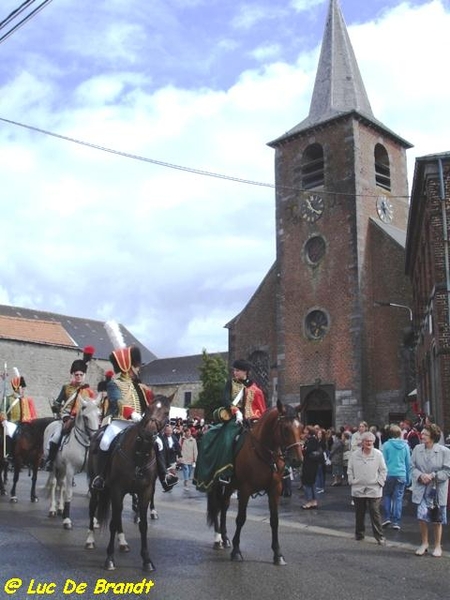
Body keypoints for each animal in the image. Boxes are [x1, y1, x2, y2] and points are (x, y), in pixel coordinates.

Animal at [43, 398, 99, 528]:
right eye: (86, 417)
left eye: (99, 415)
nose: (95, 437)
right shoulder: (70, 469)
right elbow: (68, 493)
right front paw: (67, 520)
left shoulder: (89, 472)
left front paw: (93, 520)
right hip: (54, 466)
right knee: (54, 483)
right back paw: (53, 509)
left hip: (62, 468)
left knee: (61, 484)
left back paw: (60, 508)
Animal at [86, 394, 172, 572]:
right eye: (148, 409)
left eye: (166, 412)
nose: (149, 432)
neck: (139, 454)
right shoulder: (117, 490)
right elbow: (112, 523)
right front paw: (109, 558)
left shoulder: (145, 491)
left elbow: (143, 524)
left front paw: (147, 560)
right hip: (96, 487)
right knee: (93, 509)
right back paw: (90, 539)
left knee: (117, 516)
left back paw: (123, 542)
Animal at [206, 400, 304, 564]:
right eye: (285, 429)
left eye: (301, 428)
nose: (298, 460)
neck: (264, 452)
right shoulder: (245, 489)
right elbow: (241, 519)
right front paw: (236, 551)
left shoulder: (275, 489)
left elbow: (274, 520)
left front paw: (278, 554)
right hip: (217, 484)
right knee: (217, 506)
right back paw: (218, 539)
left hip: (230, 486)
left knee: (224, 506)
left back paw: (225, 538)